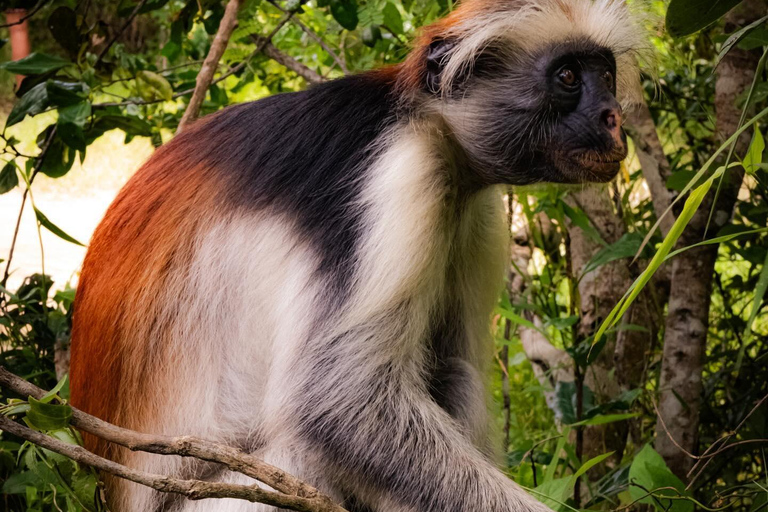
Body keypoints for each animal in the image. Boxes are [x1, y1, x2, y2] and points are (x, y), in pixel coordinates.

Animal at [70, 0, 648, 510]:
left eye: (605, 74)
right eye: (568, 76)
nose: (614, 117)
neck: (426, 123)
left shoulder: (470, 209)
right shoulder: (394, 176)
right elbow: (338, 407)